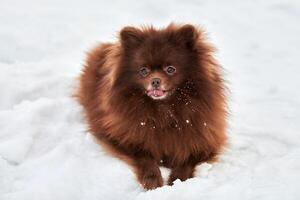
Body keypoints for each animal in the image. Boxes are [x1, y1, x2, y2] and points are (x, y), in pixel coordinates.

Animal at [76, 23, 226, 189]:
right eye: (144, 70)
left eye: (170, 69)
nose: (155, 80)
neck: (164, 110)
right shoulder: (122, 137)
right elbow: (144, 156)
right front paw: (152, 180)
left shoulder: (204, 141)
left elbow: (187, 159)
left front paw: (177, 180)